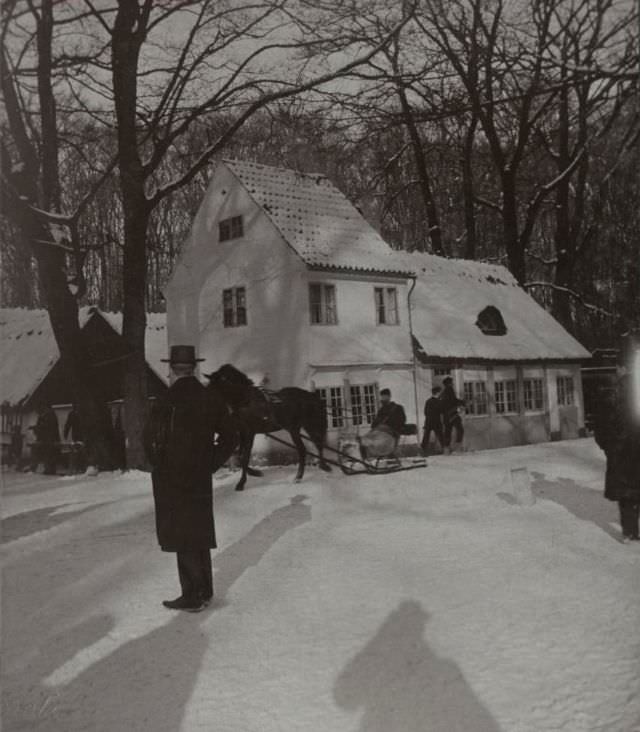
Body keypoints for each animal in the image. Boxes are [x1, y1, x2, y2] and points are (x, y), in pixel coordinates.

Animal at [205, 364, 332, 492]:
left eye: (215, 385)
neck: (247, 402)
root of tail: (313, 396)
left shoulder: (250, 433)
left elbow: (245, 457)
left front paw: (241, 483)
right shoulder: (242, 433)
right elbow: (240, 455)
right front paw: (254, 473)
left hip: (303, 428)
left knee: (311, 447)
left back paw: (307, 473)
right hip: (301, 428)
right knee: (311, 446)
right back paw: (312, 470)